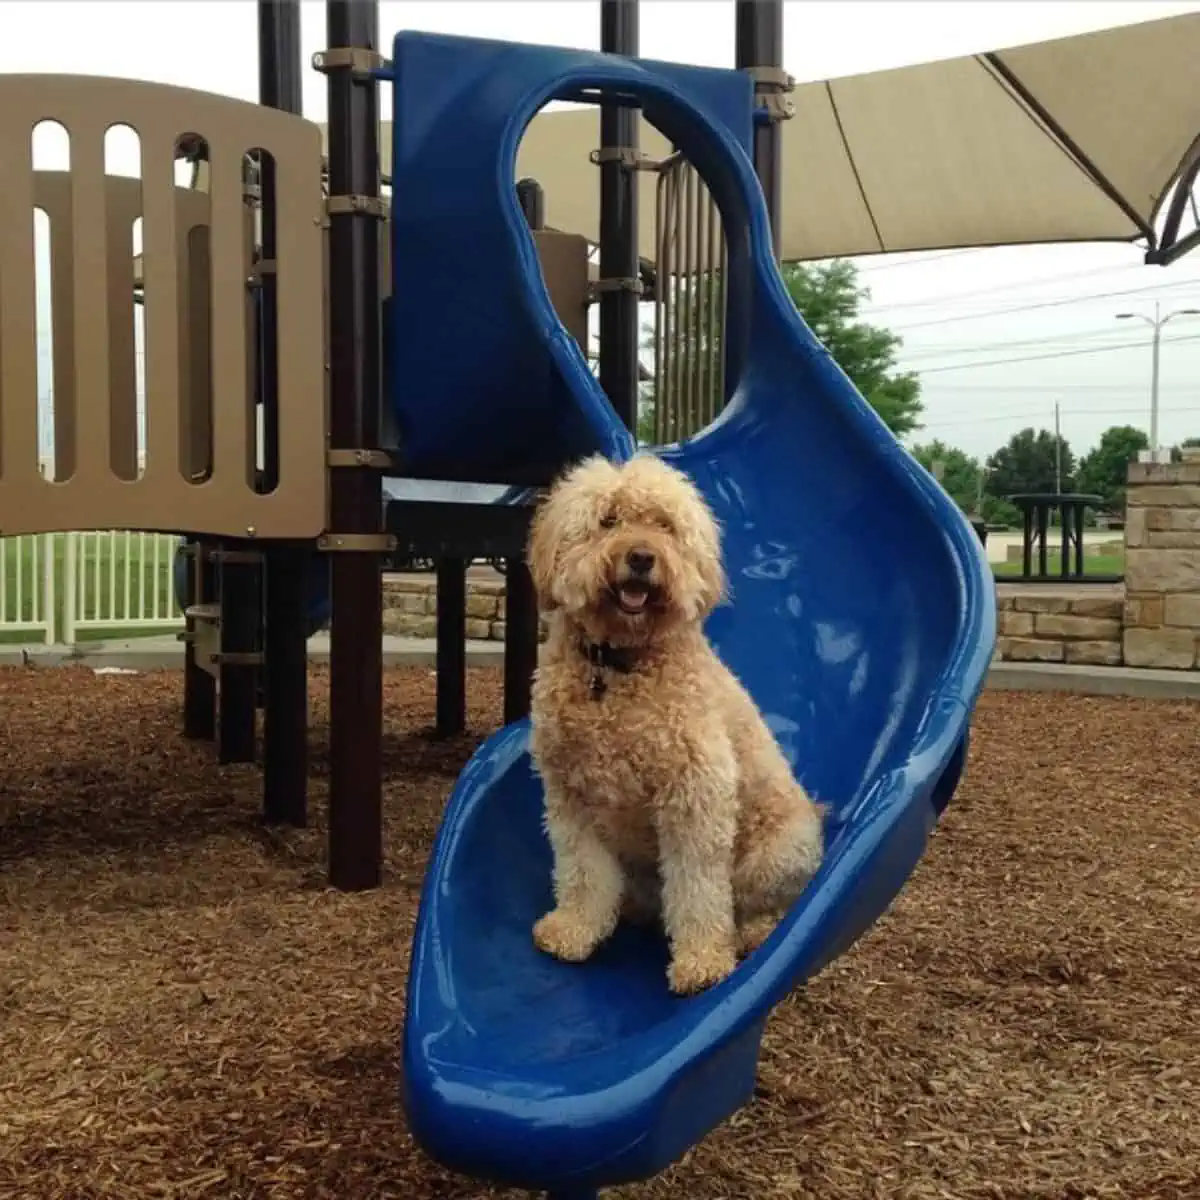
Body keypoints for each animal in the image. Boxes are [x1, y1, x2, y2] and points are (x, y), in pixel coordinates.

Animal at [525, 451, 825, 993]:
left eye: (665, 525)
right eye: (608, 520)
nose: (642, 557)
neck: (616, 668)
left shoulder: (696, 795)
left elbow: (698, 886)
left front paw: (702, 961)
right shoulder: (571, 799)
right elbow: (582, 872)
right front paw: (575, 929)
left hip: (776, 855)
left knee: (761, 905)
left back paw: (751, 934)